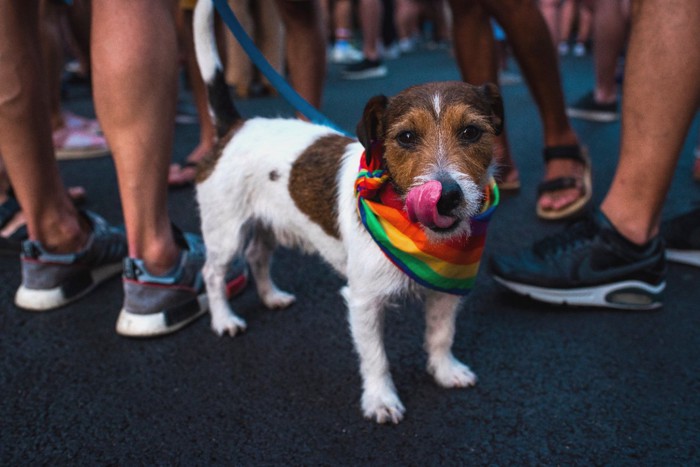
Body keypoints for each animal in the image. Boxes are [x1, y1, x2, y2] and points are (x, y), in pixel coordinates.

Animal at [193, 0, 504, 424]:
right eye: (406, 137)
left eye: (471, 132)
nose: (446, 198)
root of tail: (236, 127)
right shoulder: (363, 301)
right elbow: (375, 358)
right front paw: (381, 399)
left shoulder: (445, 291)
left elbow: (441, 335)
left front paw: (444, 370)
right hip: (226, 232)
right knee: (213, 273)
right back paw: (224, 319)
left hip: (266, 225)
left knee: (258, 256)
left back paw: (271, 296)